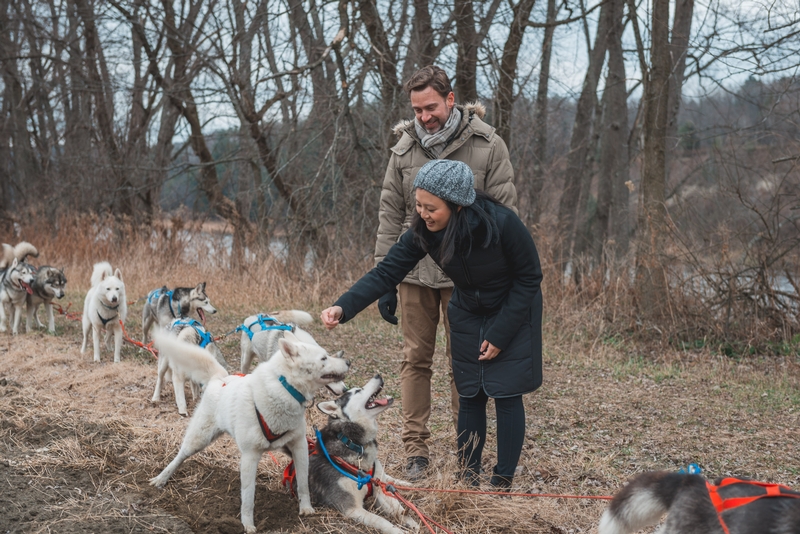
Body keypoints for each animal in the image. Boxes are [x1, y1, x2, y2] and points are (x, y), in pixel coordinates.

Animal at [150, 332, 350, 532]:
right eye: (324, 358)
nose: (348, 361)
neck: (285, 388)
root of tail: (221, 379)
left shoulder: (299, 446)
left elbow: (302, 483)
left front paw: (306, 508)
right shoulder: (250, 456)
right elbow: (248, 497)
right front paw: (247, 524)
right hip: (199, 439)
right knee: (180, 456)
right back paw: (161, 478)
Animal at [296, 376, 416, 534]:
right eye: (358, 391)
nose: (378, 375)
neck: (354, 443)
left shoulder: (379, 491)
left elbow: (398, 508)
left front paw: (411, 521)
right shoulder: (352, 508)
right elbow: (381, 520)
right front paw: (398, 530)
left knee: (387, 479)